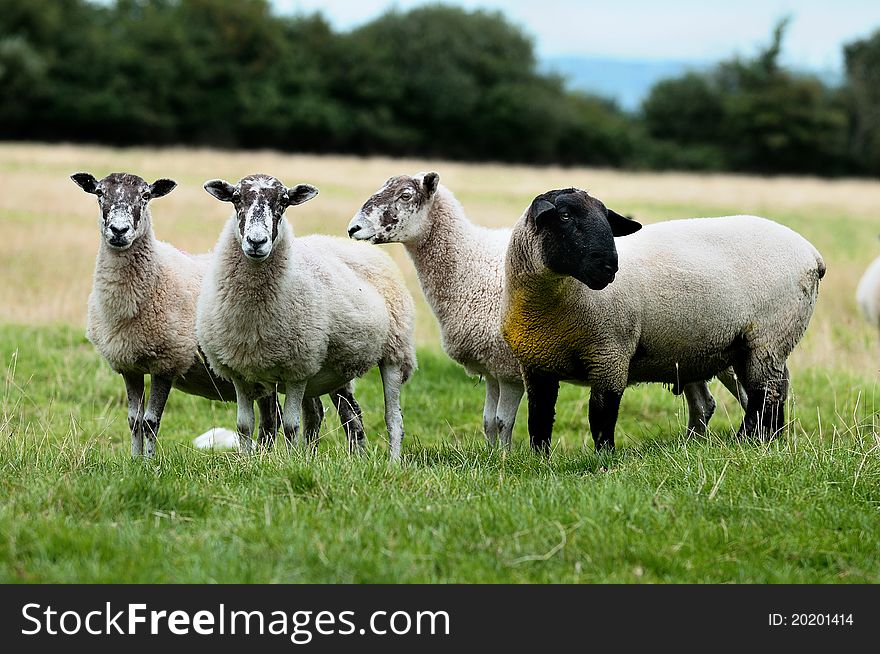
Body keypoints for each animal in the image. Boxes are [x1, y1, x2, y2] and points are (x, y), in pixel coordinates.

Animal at [71, 172, 278, 458]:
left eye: (145, 196)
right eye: (100, 193)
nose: (119, 231)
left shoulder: (168, 360)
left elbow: (150, 421)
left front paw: (149, 462)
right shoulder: (129, 364)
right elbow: (134, 420)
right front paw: (134, 460)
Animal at [196, 174, 416, 462]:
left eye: (284, 202)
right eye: (236, 198)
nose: (256, 242)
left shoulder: (297, 368)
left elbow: (291, 426)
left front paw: (290, 463)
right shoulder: (240, 372)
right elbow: (244, 425)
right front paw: (246, 462)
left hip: (394, 352)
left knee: (393, 418)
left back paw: (392, 463)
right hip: (334, 368)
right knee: (345, 414)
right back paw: (349, 459)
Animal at [348, 173, 744, 452]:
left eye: (405, 196)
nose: (353, 228)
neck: (469, 264)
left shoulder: (510, 368)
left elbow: (503, 422)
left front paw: (505, 460)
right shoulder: (492, 369)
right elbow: (488, 421)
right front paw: (492, 459)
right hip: (687, 355)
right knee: (704, 403)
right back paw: (692, 447)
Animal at [502, 187, 824, 454]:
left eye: (606, 219)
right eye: (565, 216)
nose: (609, 266)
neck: (551, 306)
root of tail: (812, 254)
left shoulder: (610, 354)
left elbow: (602, 414)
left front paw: (604, 458)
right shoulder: (536, 364)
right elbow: (539, 418)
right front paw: (539, 459)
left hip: (768, 337)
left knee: (764, 394)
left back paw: (746, 440)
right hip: (750, 347)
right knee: (775, 391)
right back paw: (769, 439)